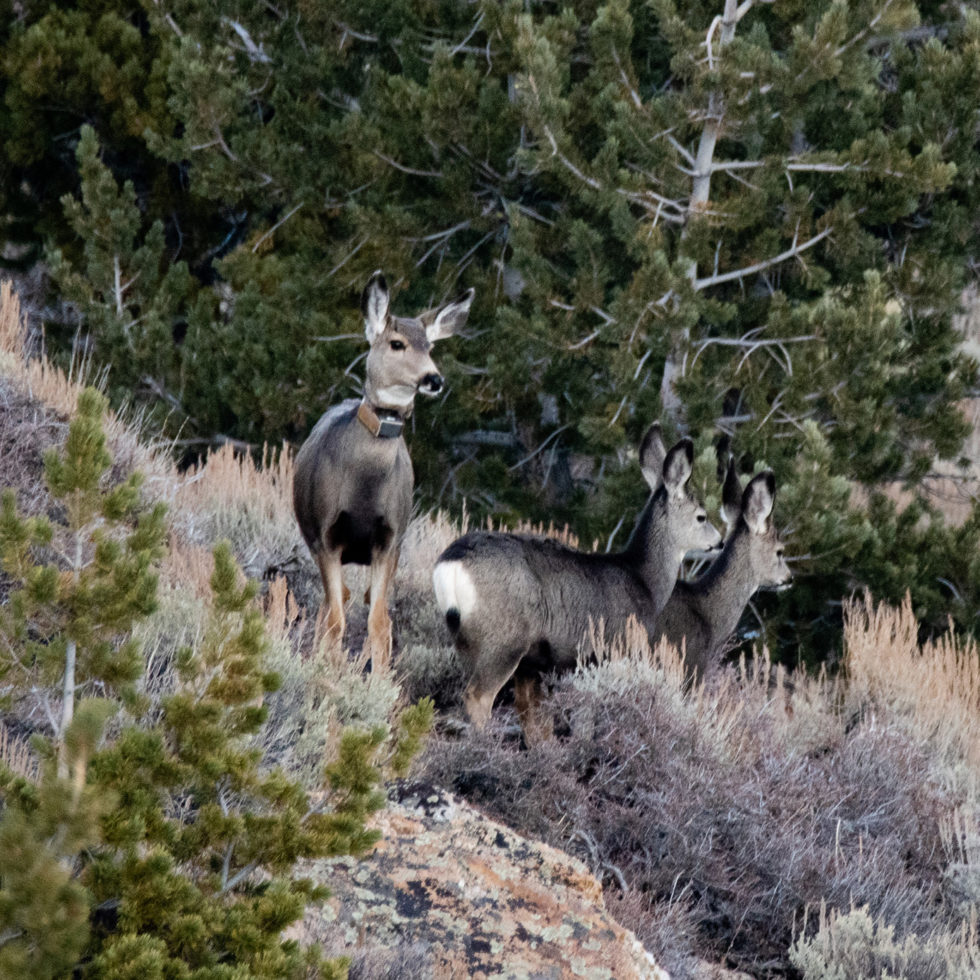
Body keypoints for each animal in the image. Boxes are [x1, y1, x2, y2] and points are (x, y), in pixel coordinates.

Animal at [290, 268, 474, 668]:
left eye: (430, 347)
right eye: (396, 343)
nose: (434, 379)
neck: (364, 488)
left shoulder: (391, 539)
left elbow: (379, 621)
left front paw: (379, 678)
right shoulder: (326, 536)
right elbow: (336, 618)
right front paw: (329, 673)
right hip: (311, 536)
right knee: (335, 603)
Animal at [432, 424, 724, 740]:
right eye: (701, 516)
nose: (720, 541)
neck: (643, 580)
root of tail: (451, 564)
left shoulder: (537, 666)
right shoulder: (608, 651)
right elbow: (586, 718)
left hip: (466, 639)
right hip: (504, 638)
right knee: (478, 695)